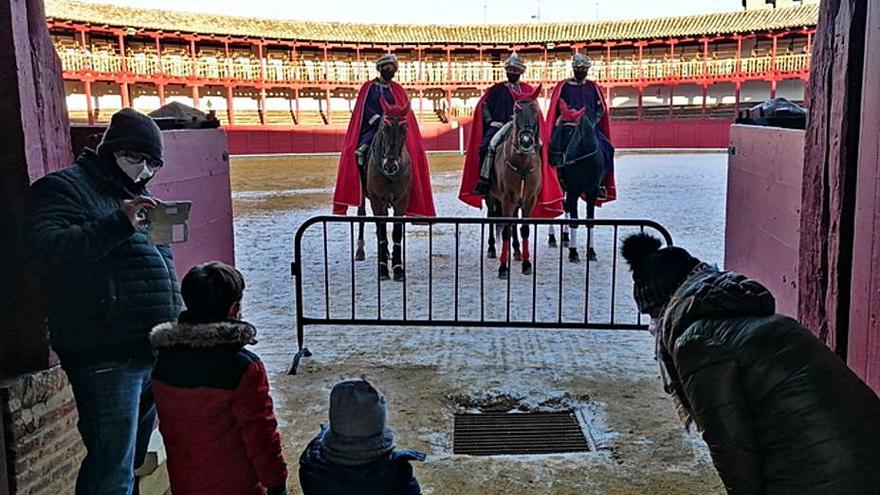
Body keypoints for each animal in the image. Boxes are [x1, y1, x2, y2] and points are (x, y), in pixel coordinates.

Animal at [354, 99, 412, 280]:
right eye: (384, 128)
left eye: (404, 129)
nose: (391, 165)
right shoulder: (377, 200)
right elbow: (381, 232)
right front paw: (383, 270)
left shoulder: (402, 201)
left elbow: (396, 233)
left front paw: (398, 268)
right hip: (363, 197)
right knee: (362, 217)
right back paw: (360, 251)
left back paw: (386, 253)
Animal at [488, 84, 544, 280]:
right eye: (516, 110)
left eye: (535, 109)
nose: (526, 141)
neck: (522, 165)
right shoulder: (506, 199)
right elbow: (505, 229)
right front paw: (503, 268)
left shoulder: (529, 200)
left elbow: (524, 228)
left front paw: (527, 264)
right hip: (491, 197)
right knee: (492, 218)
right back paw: (491, 249)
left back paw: (518, 251)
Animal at [544, 100, 604, 264]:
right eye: (556, 125)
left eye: (569, 130)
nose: (552, 157)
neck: (585, 161)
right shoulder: (573, 189)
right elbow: (574, 219)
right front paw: (573, 252)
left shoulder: (592, 190)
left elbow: (590, 220)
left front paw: (591, 252)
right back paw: (553, 238)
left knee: (566, 207)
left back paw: (565, 237)